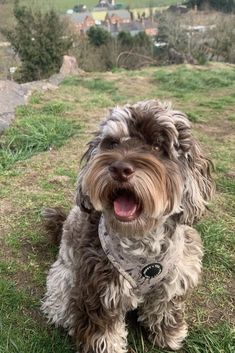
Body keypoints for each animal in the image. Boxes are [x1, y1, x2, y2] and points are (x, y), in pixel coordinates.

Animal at [41, 99, 214, 352]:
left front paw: (169, 334)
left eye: (157, 146)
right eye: (112, 143)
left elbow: (165, 308)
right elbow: (103, 332)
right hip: (64, 277)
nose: (120, 169)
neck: (142, 241)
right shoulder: (101, 288)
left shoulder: (176, 275)